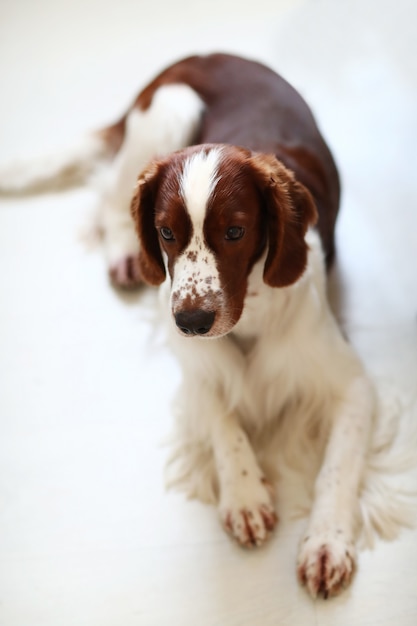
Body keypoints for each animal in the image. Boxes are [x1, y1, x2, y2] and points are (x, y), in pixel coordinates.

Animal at [0, 52, 374, 596]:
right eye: (166, 232)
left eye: (236, 231)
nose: (192, 321)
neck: (250, 313)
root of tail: (201, 54)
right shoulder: (194, 365)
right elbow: (220, 414)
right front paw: (243, 492)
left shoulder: (351, 383)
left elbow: (337, 464)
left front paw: (326, 542)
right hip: (172, 106)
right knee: (109, 199)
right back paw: (123, 255)